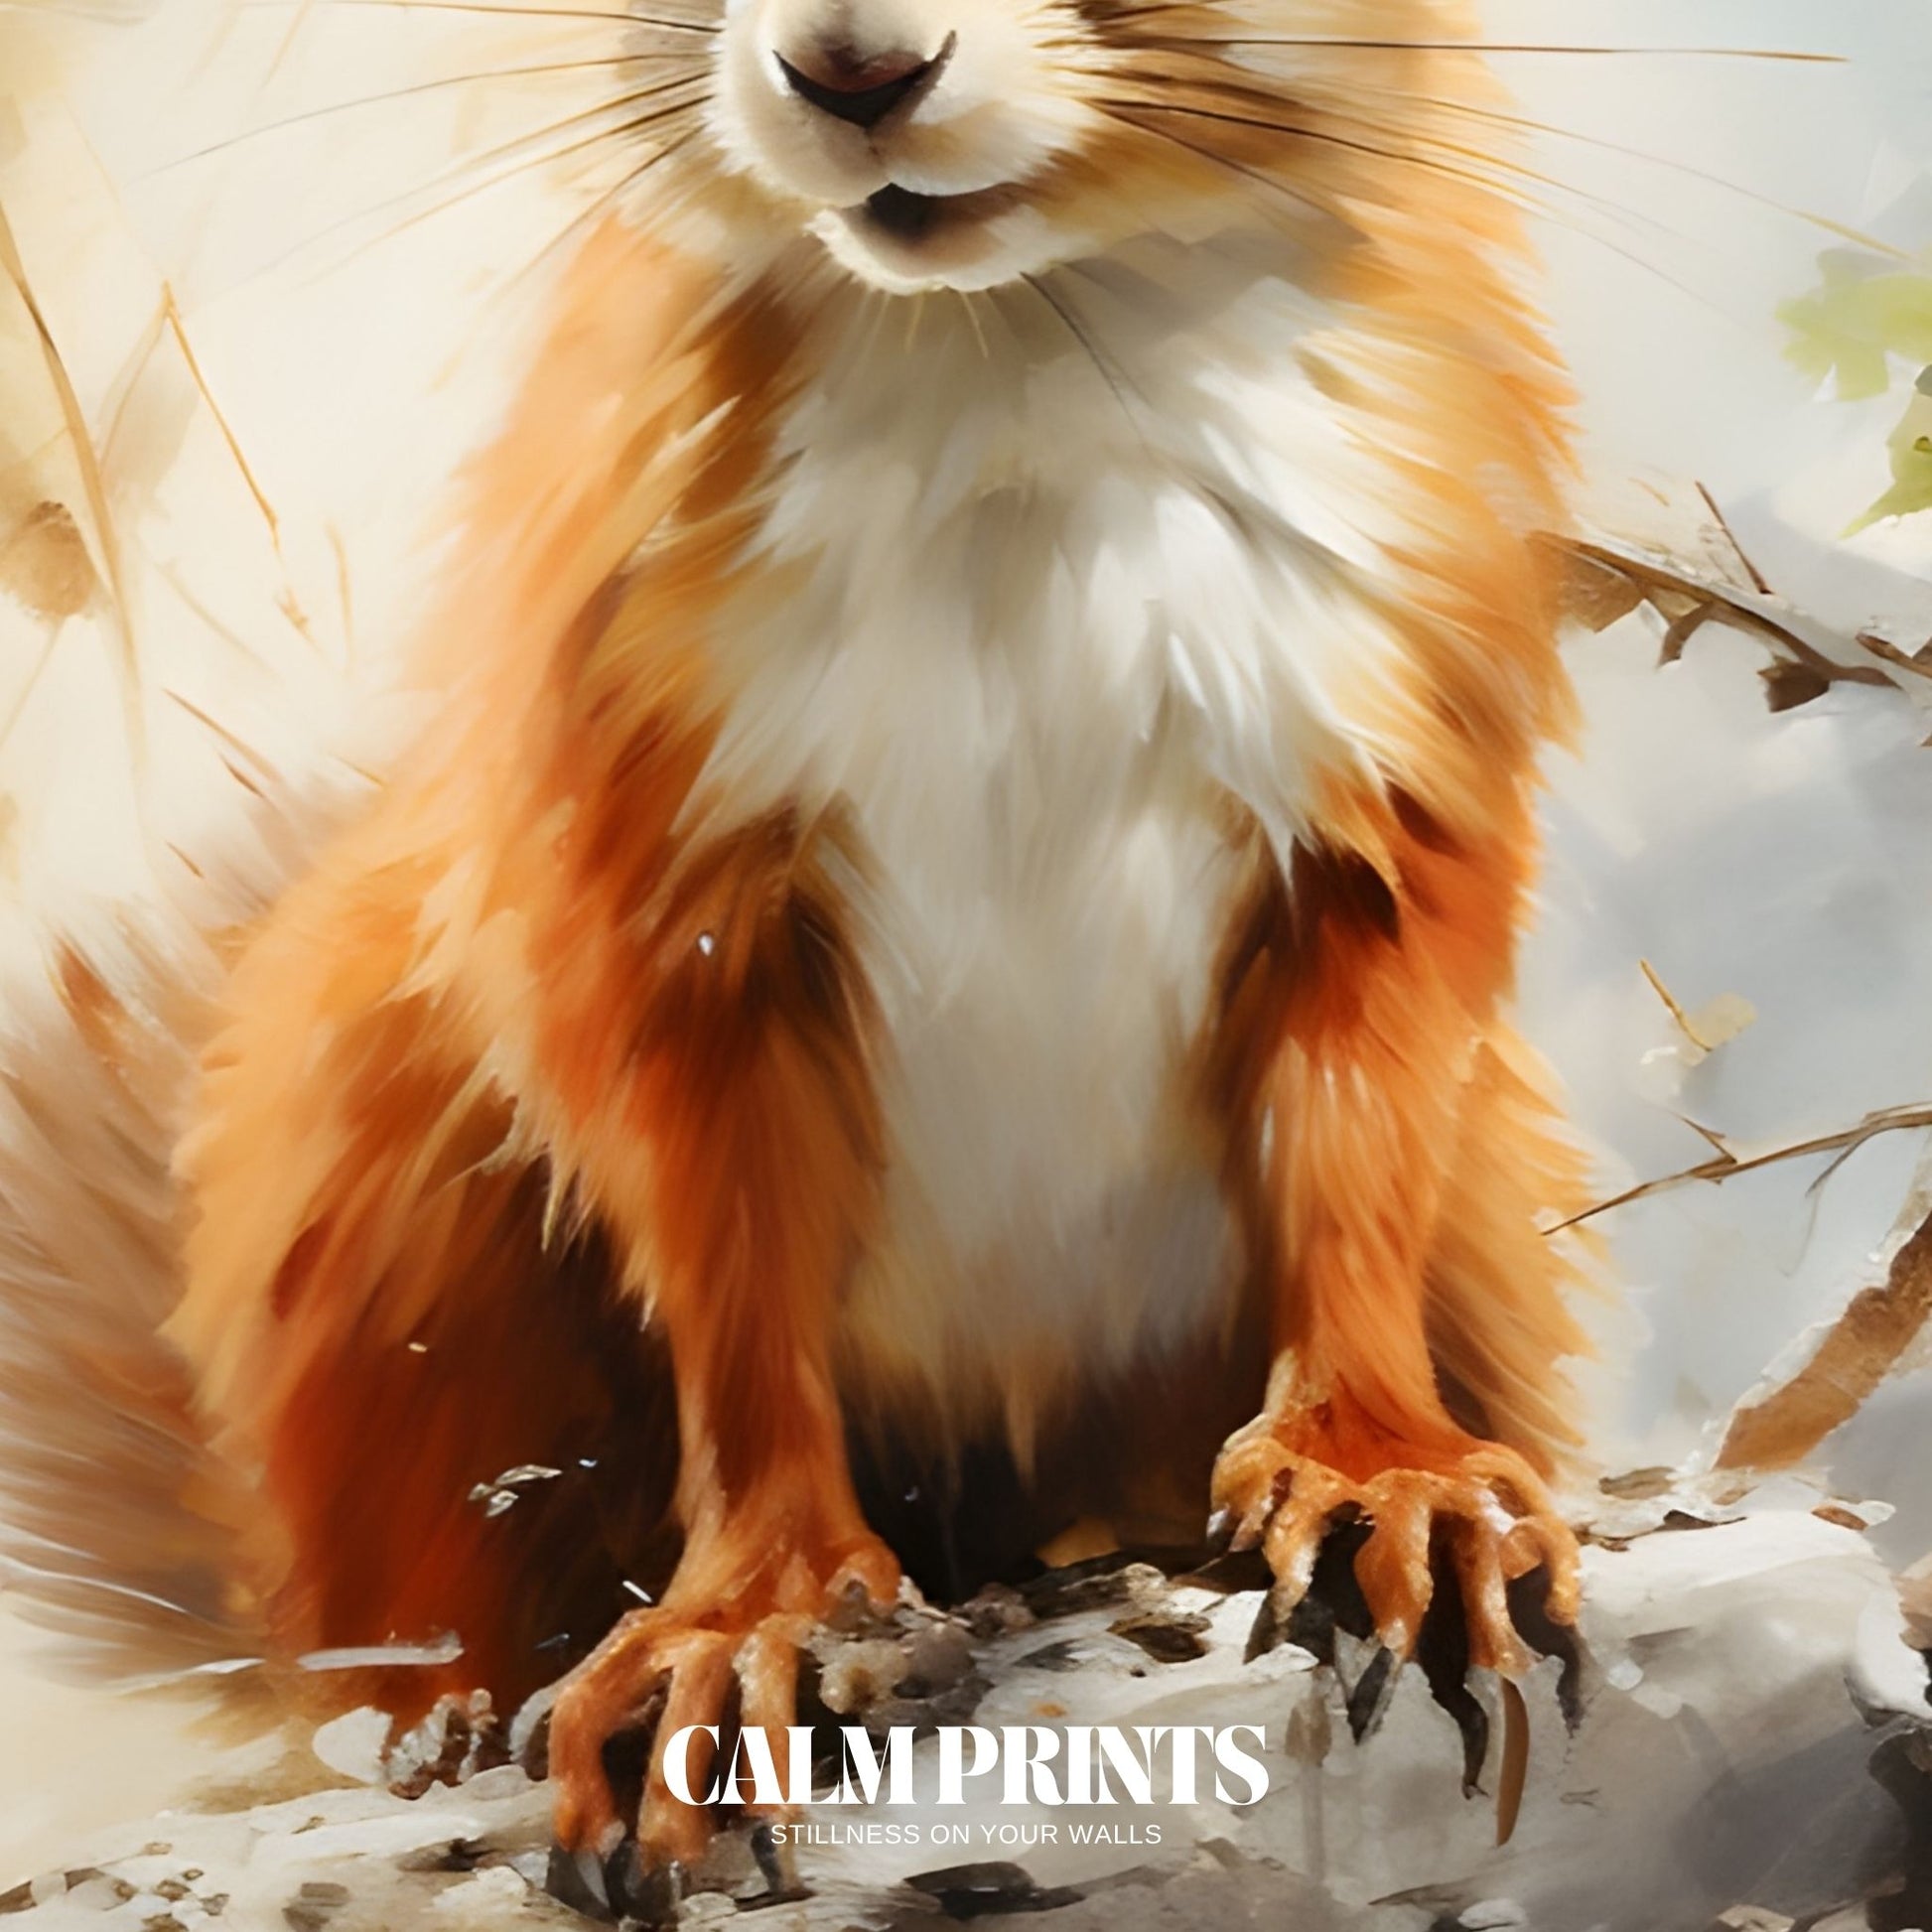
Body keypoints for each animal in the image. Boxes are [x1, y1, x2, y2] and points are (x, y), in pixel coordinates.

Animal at [2, 0, 1599, 1874]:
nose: (854, 67)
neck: (1007, 357)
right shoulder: (652, 852)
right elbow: (728, 1251)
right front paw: (743, 1617)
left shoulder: (1394, 760)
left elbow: (1355, 1136)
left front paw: (1382, 1470)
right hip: (374, 1199)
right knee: (414, 1571)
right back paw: (434, 1710)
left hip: (1485, 1226)